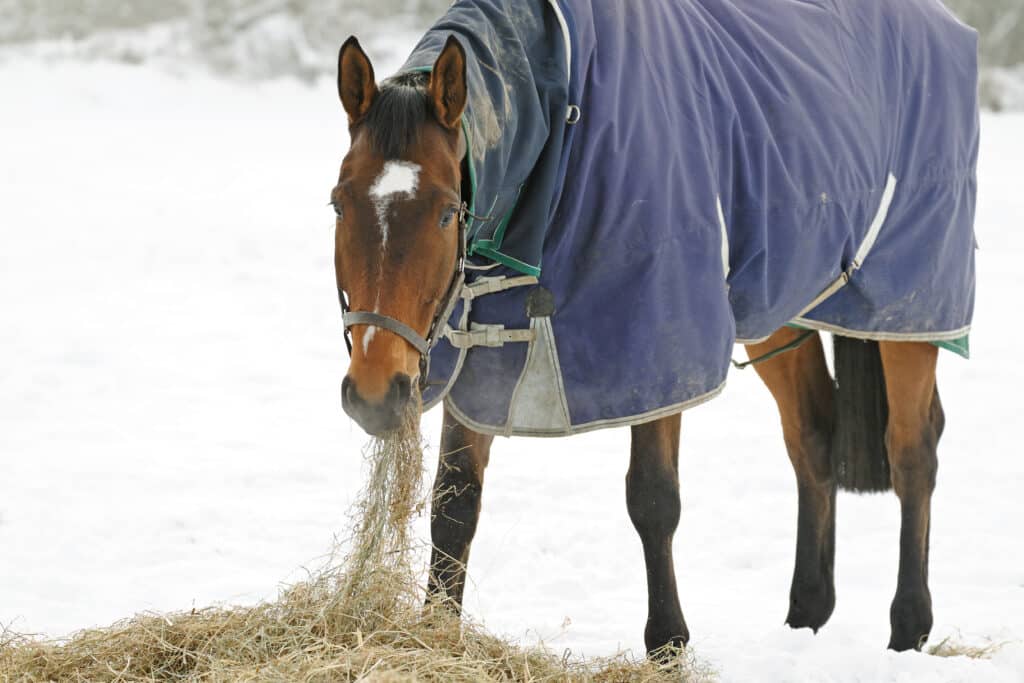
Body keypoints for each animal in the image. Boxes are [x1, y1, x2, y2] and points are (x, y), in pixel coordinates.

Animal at [331, 0, 978, 656]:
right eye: (338, 203)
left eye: (444, 212)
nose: (374, 393)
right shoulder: (478, 355)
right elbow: (455, 503)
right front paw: (434, 632)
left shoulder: (660, 350)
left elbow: (653, 498)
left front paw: (669, 641)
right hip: (779, 308)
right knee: (813, 431)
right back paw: (807, 613)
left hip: (908, 312)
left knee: (912, 449)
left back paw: (909, 625)